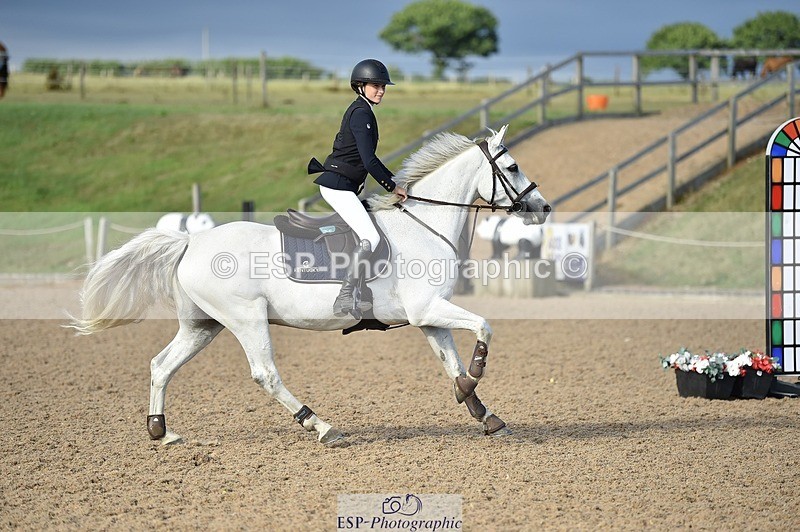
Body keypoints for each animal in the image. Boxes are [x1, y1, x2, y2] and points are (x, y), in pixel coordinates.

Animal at [68, 125, 551, 446]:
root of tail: (191, 240)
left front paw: (480, 410)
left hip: (203, 325)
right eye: (512, 166)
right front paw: (475, 379)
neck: (425, 225)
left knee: (161, 365)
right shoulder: (428, 310)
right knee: (265, 374)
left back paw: (161, 431)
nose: (542, 207)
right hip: (246, 319)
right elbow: (485, 328)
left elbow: (451, 363)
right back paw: (321, 426)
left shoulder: (430, 316)